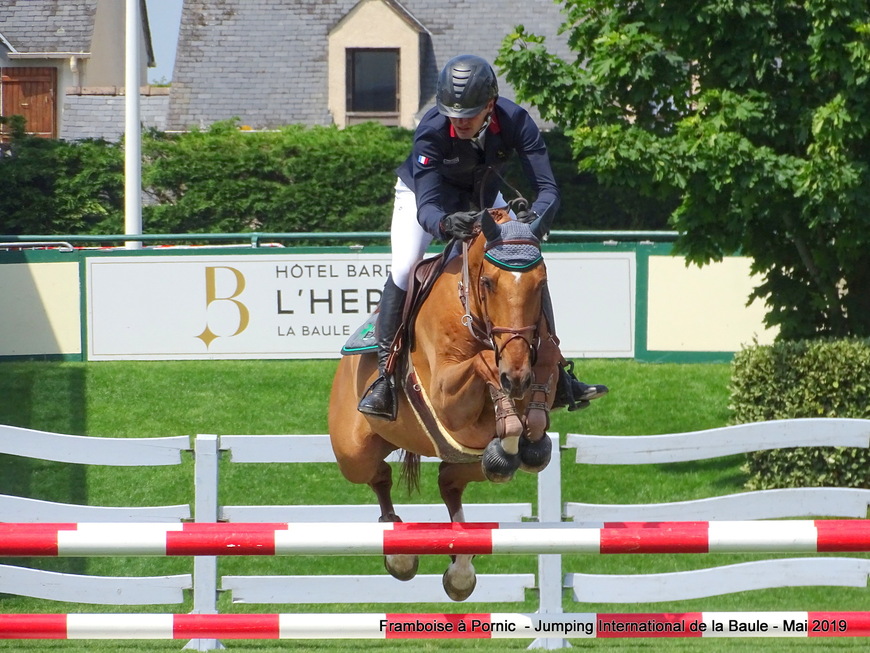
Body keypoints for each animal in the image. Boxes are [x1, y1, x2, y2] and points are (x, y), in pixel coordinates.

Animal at [328, 206, 564, 600]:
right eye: (489, 283)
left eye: (542, 283)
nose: (516, 377)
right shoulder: (445, 398)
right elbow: (485, 363)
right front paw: (511, 423)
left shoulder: (537, 360)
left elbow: (545, 370)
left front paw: (529, 434)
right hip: (353, 452)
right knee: (378, 475)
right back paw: (399, 553)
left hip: (465, 457)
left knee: (451, 480)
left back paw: (461, 569)